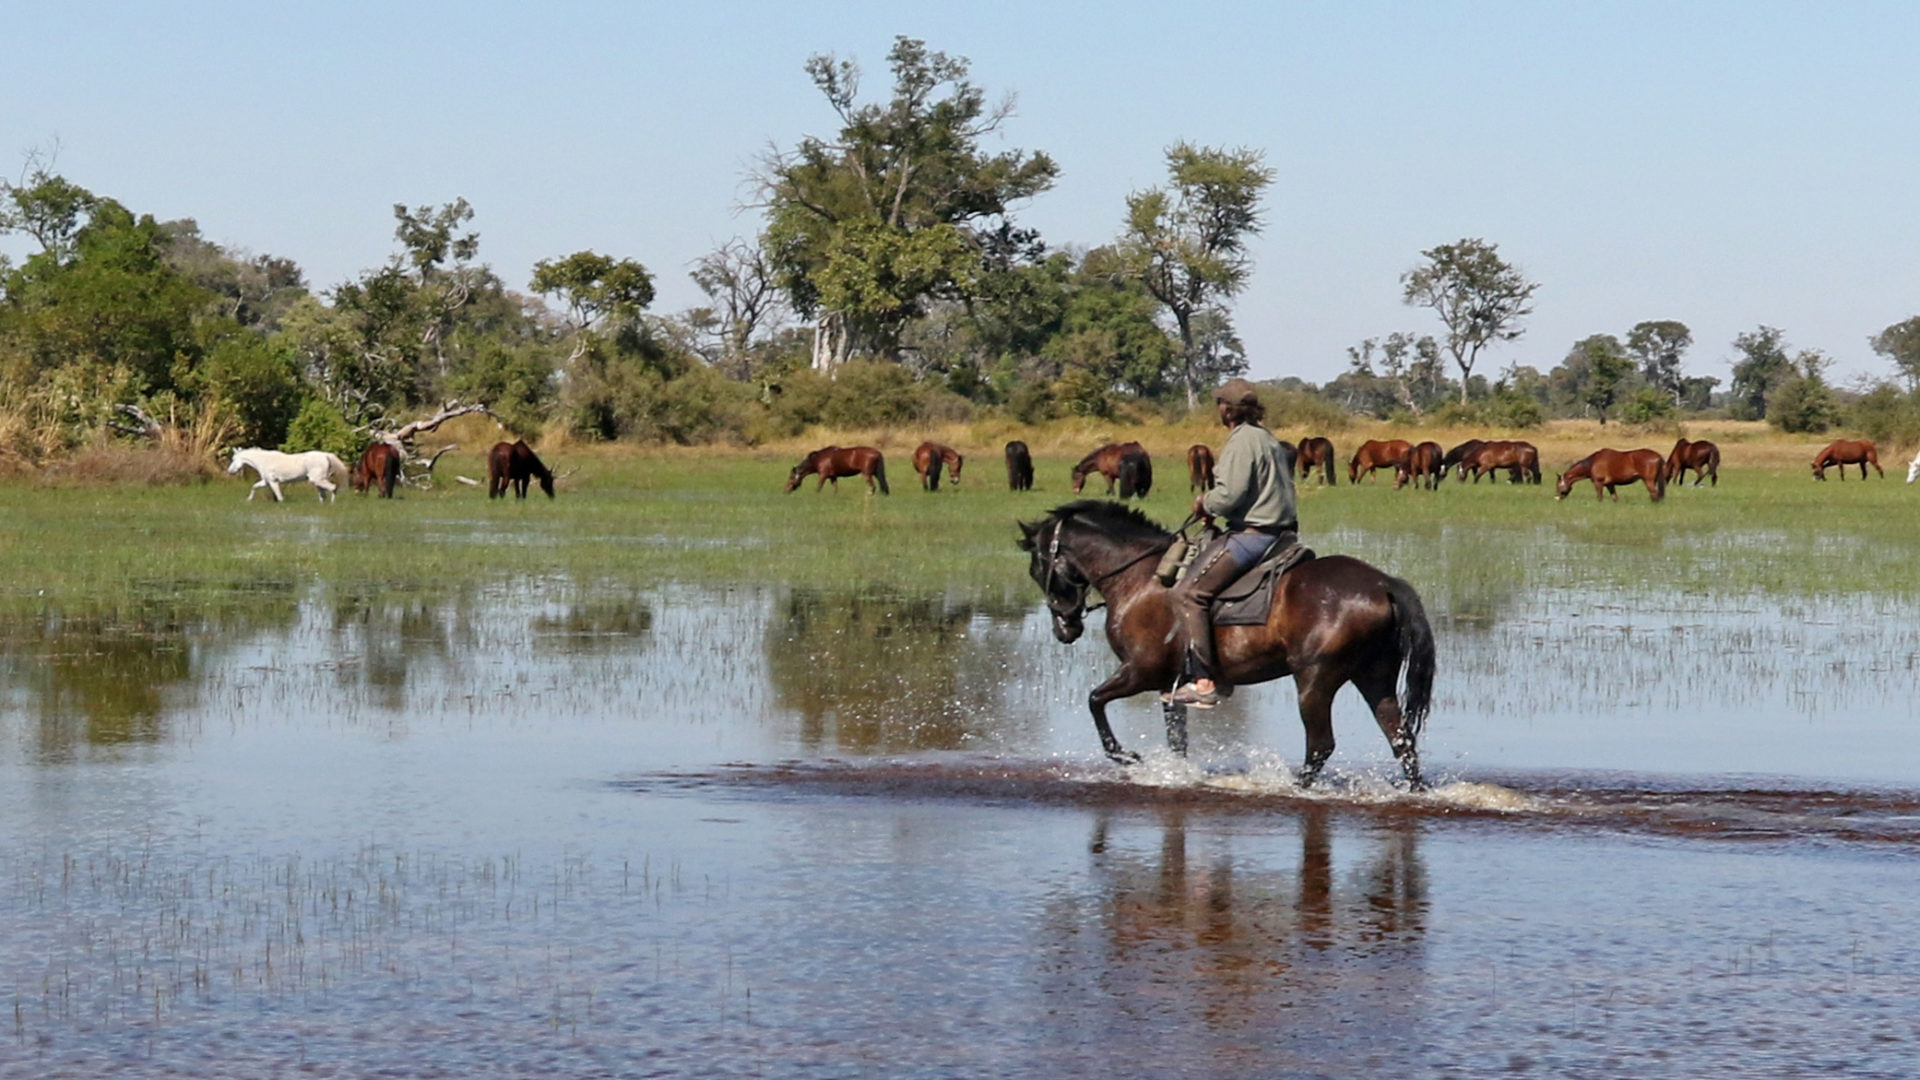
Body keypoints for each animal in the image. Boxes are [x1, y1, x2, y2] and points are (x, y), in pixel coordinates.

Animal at [1016, 501, 1434, 788]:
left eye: (1038, 569)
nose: (1065, 629)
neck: (1139, 577)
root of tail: (1383, 583)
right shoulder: (1168, 684)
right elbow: (1177, 740)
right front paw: (1175, 774)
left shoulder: (1140, 672)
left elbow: (1094, 701)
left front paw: (1129, 757)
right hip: (1374, 678)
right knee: (1401, 740)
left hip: (1314, 681)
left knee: (1320, 745)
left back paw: (1293, 788)